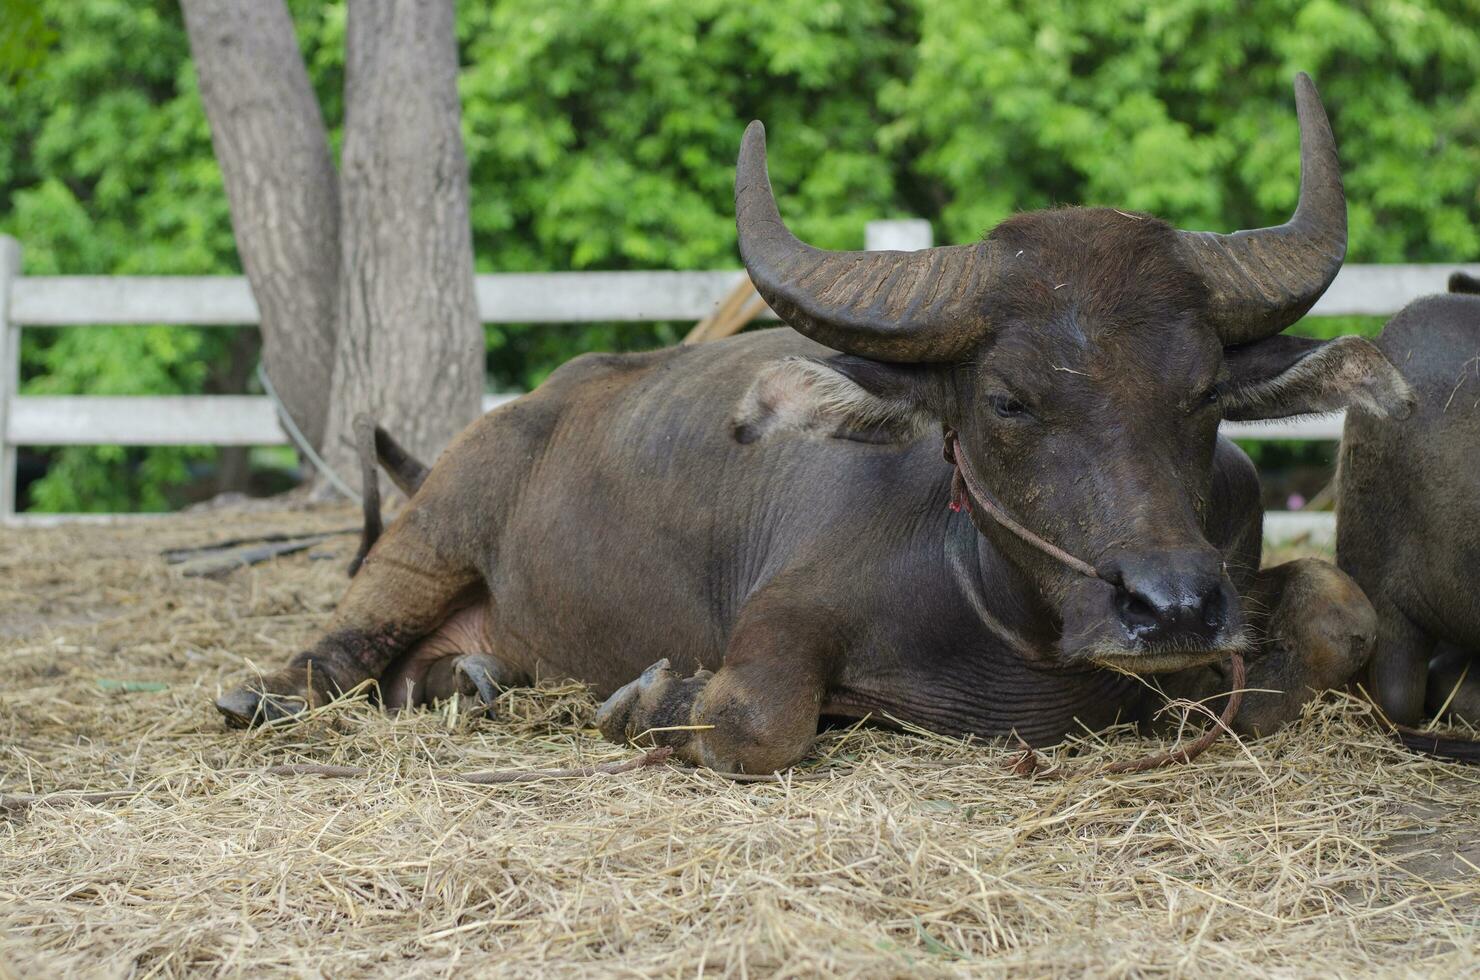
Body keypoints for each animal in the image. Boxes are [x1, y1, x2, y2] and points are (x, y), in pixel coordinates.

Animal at [216, 74, 1408, 775]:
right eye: (1007, 399)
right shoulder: (779, 614)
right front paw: (654, 697)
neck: (1004, 623)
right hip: (432, 531)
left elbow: (1340, 611)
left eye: (1202, 391)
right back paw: (260, 693)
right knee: (335, 653)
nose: (1171, 608)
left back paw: (468, 680)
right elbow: (755, 717)